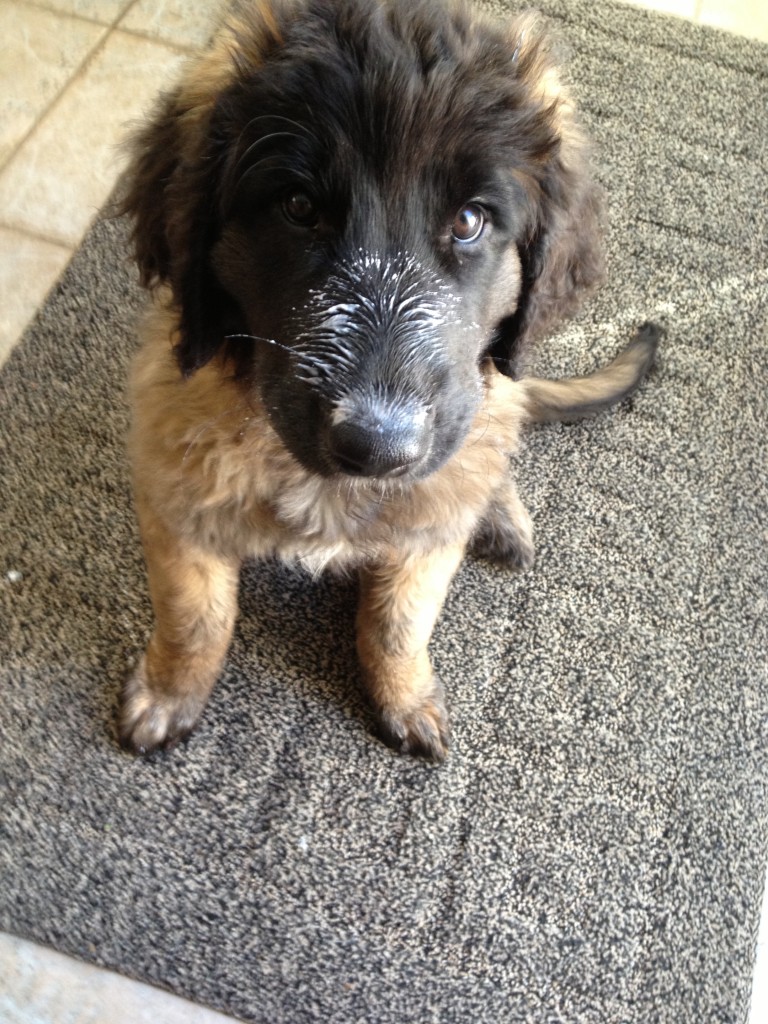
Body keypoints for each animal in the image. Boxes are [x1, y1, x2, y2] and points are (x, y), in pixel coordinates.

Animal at [117, 0, 659, 761]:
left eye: (469, 220)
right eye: (298, 207)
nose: (377, 447)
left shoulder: (427, 526)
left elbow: (397, 623)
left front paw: (404, 697)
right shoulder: (176, 496)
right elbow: (195, 616)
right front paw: (170, 693)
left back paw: (501, 513)